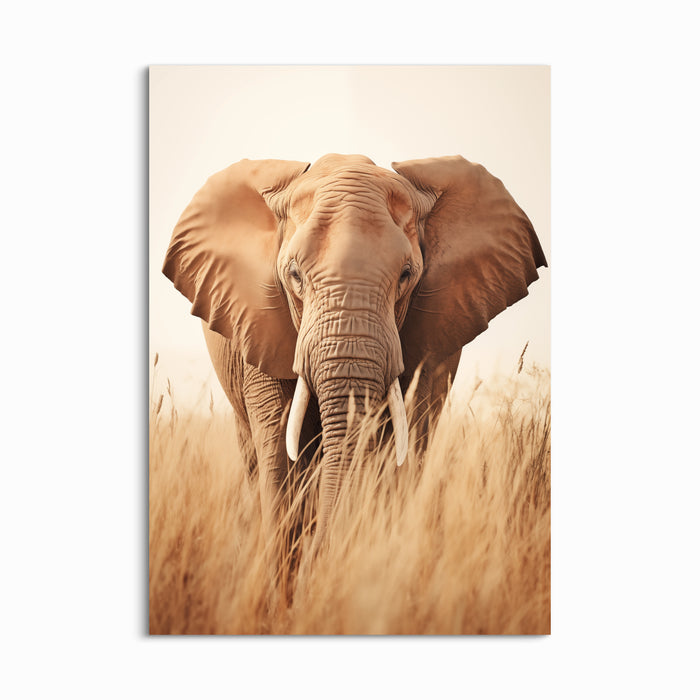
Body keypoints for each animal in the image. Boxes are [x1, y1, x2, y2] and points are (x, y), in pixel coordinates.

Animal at [163, 153, 547, 553]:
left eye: (406, 275)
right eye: (294, 275)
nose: (323, 548)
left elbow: (399, 449)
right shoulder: (257, 325)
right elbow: (282, 456)